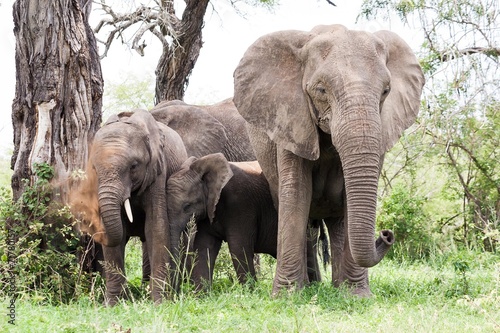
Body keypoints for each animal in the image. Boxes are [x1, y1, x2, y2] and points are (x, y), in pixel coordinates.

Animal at [70, 109, 188, 304]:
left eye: (133, 166)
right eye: (94, 169)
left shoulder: (157, 171)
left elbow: (156, 226)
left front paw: (159, 302)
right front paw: (112, 304)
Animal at [164, 152, 320, 288]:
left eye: (187, 206)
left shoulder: (240, 205)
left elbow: (238, 247)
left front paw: (250, 292)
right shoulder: (209, 210)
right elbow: (203, 247)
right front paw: (201, 295)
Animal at [232, 23, 424, 294]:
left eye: (386, 91)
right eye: (321, 90)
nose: (386, 234)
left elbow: (349, 200)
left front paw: (357, 295)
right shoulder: (291, 121)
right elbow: (297, 194)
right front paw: (287, 295)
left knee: (338, 222)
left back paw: (338, 288)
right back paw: (310, 286)